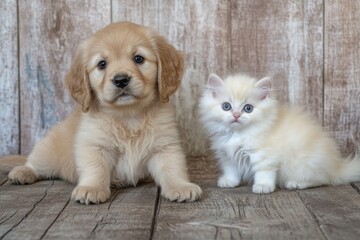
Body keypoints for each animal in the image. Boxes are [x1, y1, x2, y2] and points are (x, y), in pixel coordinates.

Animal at [4, 21, 202, 204]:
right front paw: (91, 189)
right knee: (35, 163)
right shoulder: (93, 145)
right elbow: (95, 168)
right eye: (102, 64)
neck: (129, 115)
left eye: (138, 59)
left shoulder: (165, 146)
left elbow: (172, 167)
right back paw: (22, 172)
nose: (121, 80)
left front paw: (180, 186)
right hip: (48, 152)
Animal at [198, 73, 360, 193]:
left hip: (303, 164)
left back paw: (295, 183)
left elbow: (263, 172)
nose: (236, 115)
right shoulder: (227, 156)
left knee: (321, 180)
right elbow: (231, 170)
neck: (238, 134)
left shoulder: (264, 156)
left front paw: (263, 187)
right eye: (226, 106)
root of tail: (336, 166)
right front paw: (229, 181)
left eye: (248, 108)